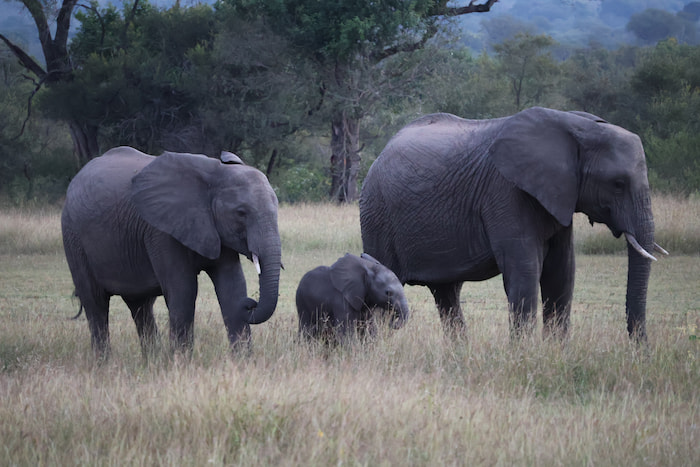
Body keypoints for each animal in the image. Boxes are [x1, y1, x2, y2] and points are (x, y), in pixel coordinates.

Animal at [61, 146, 282, 358]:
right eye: (241, 213)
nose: (251, 303)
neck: (214, 173)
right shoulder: (161, 231)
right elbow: (184, 291)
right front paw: (181, 363)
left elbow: (232, 287)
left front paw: (242, 362)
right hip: (73, 238)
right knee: (95, 303)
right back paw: (103, 363)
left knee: (140, 306)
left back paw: (151, 362)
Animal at [359, 107, 667, 342]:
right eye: (618, 184)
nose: (641, 353)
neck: (575, 125)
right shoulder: (505, 192)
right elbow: (525, 271)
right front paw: (524, 355)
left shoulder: (559, 197)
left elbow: (562, 273)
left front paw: (555, 354)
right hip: (377, 213)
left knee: (447, 293)